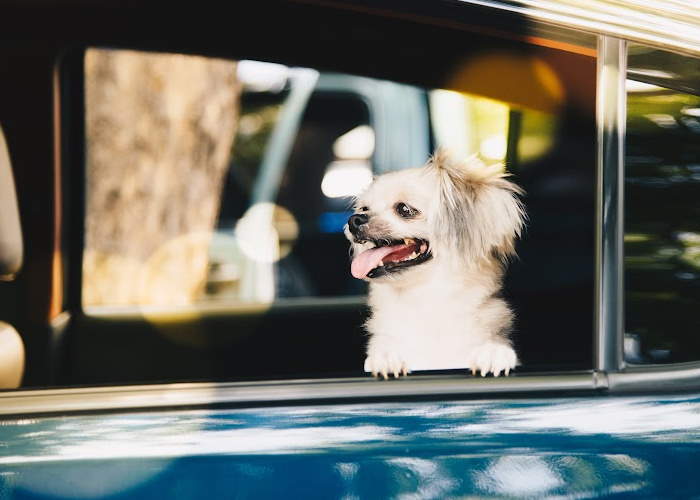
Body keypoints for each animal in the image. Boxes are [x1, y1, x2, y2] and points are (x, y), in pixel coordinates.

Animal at [344, 150, 524, 376]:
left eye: (404, 209)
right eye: (364, 208)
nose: (355, 220)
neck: (426, 301)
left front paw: (493, 352)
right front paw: (387, 357)